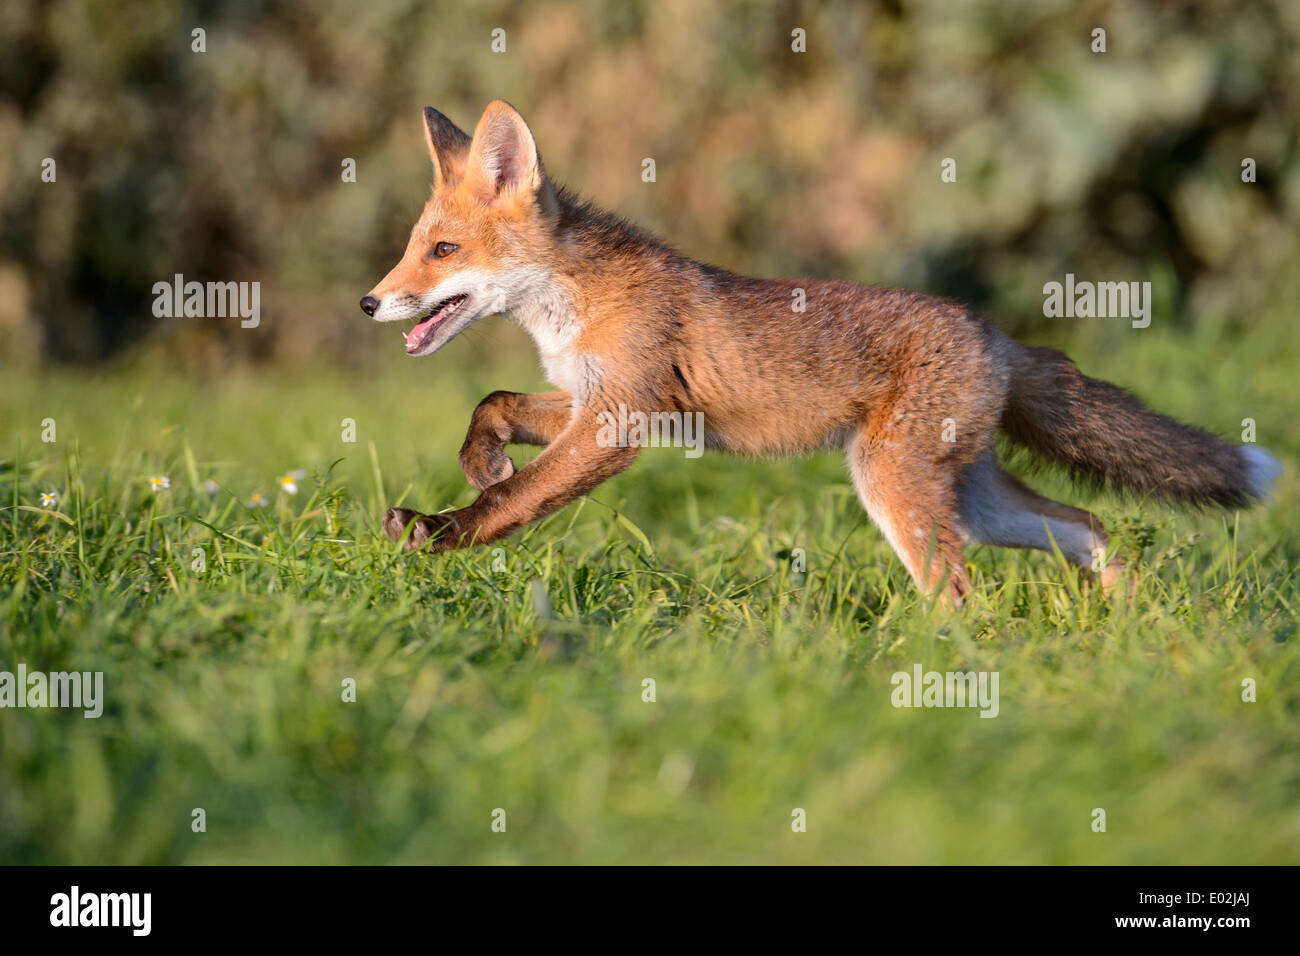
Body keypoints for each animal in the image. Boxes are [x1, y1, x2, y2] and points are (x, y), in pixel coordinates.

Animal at [364, 98, 1279, 606]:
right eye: (415, 247)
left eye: (442, 251)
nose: (372, 301)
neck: (574, 304)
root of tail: (995, 335)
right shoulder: (602, 402)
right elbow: (495, 405)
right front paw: (481, 458)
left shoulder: (618, 423)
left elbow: (514, 504)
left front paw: (441, 531)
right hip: (971, 501)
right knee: (1087, 525)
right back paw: (1133, 629)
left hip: (894, 486)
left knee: (960, 597)